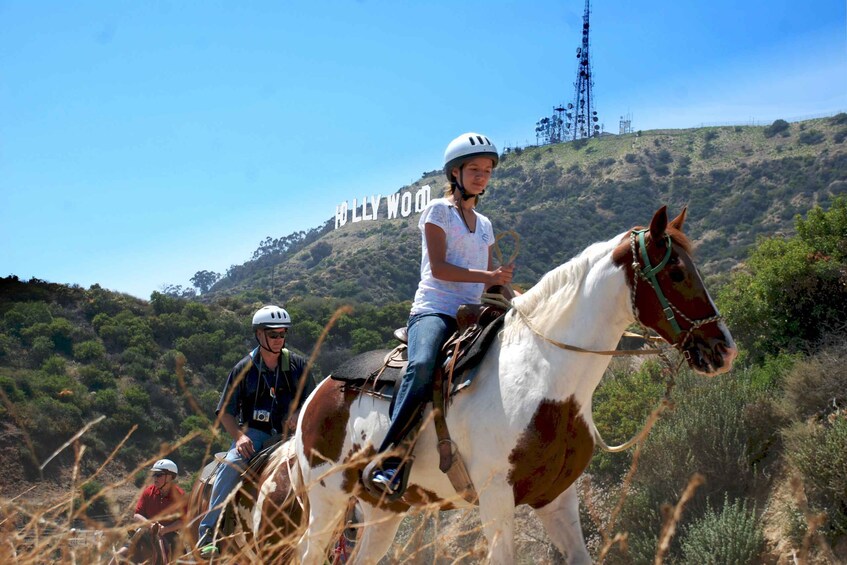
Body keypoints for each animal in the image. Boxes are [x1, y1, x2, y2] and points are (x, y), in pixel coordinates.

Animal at [294, 207, 736, 564]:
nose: (723, 348)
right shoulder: (496, 501)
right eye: (676, 272)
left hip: (382, 513)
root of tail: (316, 395)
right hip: (328, 502)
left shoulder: (557, 498)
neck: (543, 376)